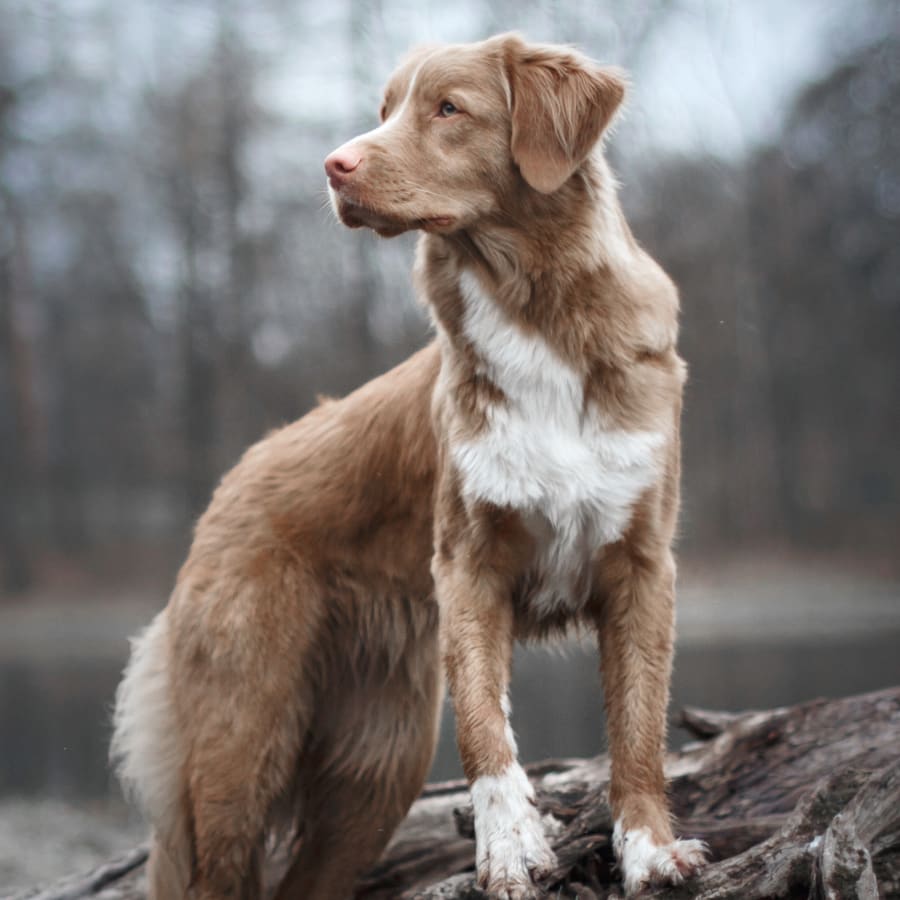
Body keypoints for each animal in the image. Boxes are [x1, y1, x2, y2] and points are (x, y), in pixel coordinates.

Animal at [110, 33, 704, 900]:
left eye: (447, 109)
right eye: (384, 109)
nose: (334, 166)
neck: (533, 314)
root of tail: (233, 478)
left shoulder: (642, 564)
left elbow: (640, 723)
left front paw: (652, 851)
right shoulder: (468, 564)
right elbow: (487, 728)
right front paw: (509, 848)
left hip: (376, 768)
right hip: (241, 745)